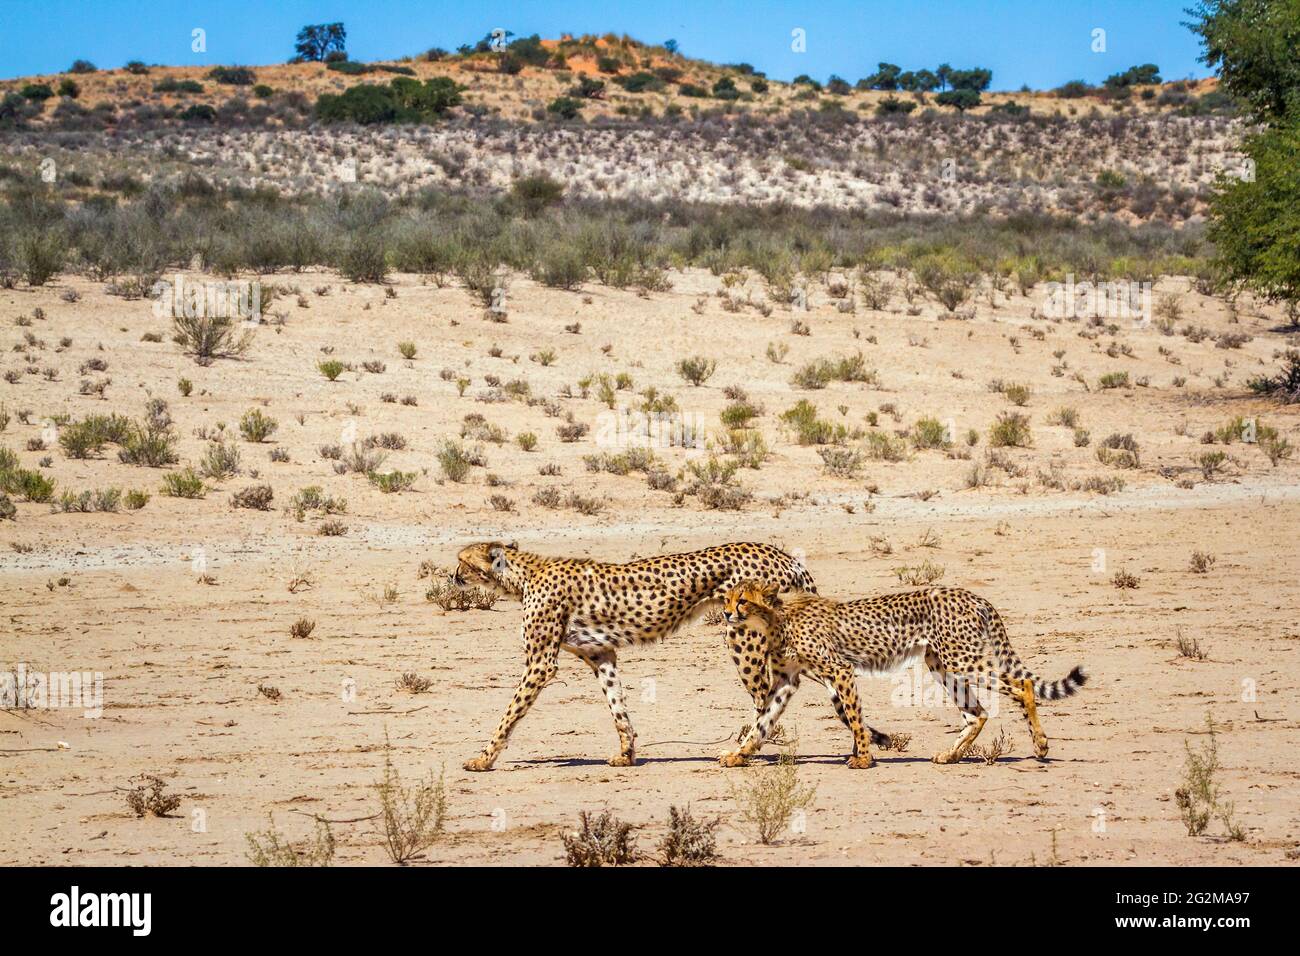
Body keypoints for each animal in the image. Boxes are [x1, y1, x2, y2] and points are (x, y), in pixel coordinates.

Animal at [452, 541, 889, 775]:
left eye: (462, 561)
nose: (452, 577)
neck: (521, 575)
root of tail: (784, 554)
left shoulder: (542, 664)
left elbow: (508, 715)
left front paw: (483, 758)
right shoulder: (601, 653)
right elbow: (618, 707)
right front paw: (627, 753)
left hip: (743, 636)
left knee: (769, 695)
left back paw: (743, 751)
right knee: (804, 686)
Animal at [722, 582, 1086, 770]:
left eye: (742, 601)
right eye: (726, 598)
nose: (725, 613)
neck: (775, 619)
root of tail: (972, 594)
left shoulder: (840, 669)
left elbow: (855, 718)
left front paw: (863, 757)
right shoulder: (787, 681)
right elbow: (762, 722)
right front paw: (738, 754)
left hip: (961, 660)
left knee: (1022, 684)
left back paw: (1040, 745)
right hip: (941, 664)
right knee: (977, 713)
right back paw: (951, 755)